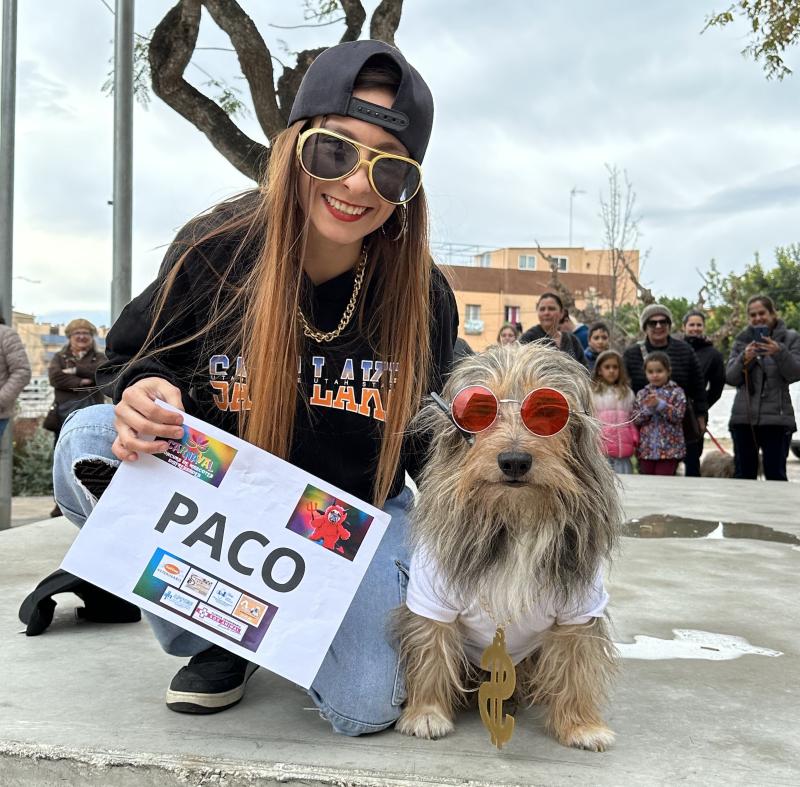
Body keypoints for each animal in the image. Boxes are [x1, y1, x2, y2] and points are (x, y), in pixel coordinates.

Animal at [395, 342, 622, 751]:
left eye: (548, 412)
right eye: (479, 411)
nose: (514, 461)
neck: (515, 519)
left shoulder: (579, 608)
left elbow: (576, 661)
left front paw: (581, 724)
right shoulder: (433, 599)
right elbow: (431, 648)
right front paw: (427, 712)